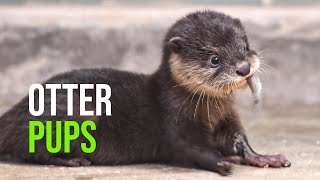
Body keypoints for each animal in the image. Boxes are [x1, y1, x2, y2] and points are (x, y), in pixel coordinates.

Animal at [0, 10, 290, 175]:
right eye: (214, 59)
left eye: (244, 47)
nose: (244, 68)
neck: (208, 112)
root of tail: (12, 114)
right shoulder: (173, 122)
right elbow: (188, 148)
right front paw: (220, 161)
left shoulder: (228, 119)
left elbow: (240, 140)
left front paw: (265, 157)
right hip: (76, 112)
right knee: (31, 149)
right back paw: (72, 161)